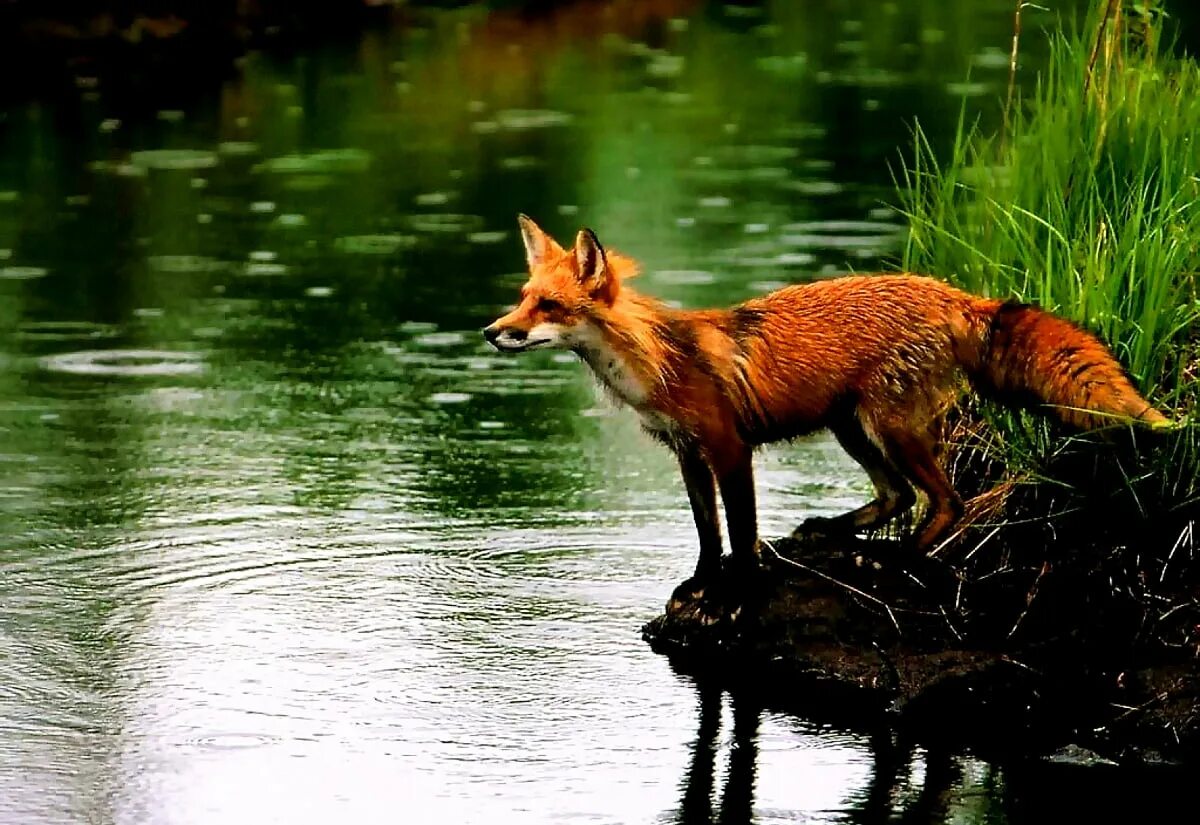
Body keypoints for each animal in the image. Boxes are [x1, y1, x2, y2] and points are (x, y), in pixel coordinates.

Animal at [482, 214, 1166, 592]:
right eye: (522, 298)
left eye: (549, 306)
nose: (493, 331)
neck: (659, 361)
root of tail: (953, 293)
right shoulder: (686, 452)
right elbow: (707, 532)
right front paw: (702, 583)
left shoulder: (728, 447)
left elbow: (740, 532)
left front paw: (738, 591)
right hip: (853, 428)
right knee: (897, 496)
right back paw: (831, 534)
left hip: (888, 425)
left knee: (946, 501)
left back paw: (895, 560)